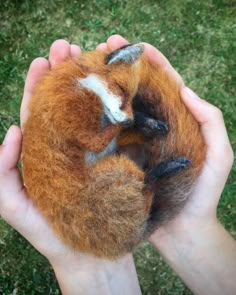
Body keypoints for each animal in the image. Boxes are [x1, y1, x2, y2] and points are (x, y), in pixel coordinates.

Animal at [22, 43, 206, 260]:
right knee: (147, 185)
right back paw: (168, 167)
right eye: (122, 89)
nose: (128, 120)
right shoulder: (77, 120)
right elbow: (105, 134)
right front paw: (141, 122)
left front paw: (148, 122)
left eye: (132, 96)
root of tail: (132, 240)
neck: (80, 84)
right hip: (119, 169)